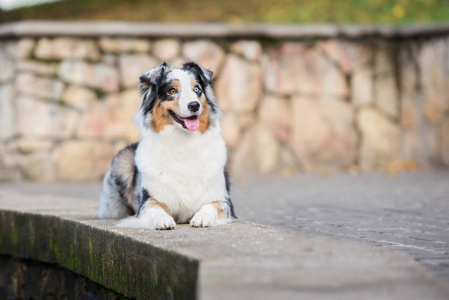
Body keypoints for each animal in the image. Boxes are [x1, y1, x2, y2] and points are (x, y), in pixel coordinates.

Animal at [98, 61, 236, 230]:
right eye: (172, 90)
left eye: (197, 89)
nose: (194, 105)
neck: (183, 142)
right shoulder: (147, 201)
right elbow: (156, 209)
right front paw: (162, 219)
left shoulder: (224, 201)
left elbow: (210, 206)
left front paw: (203, 217)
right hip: (122, 163)